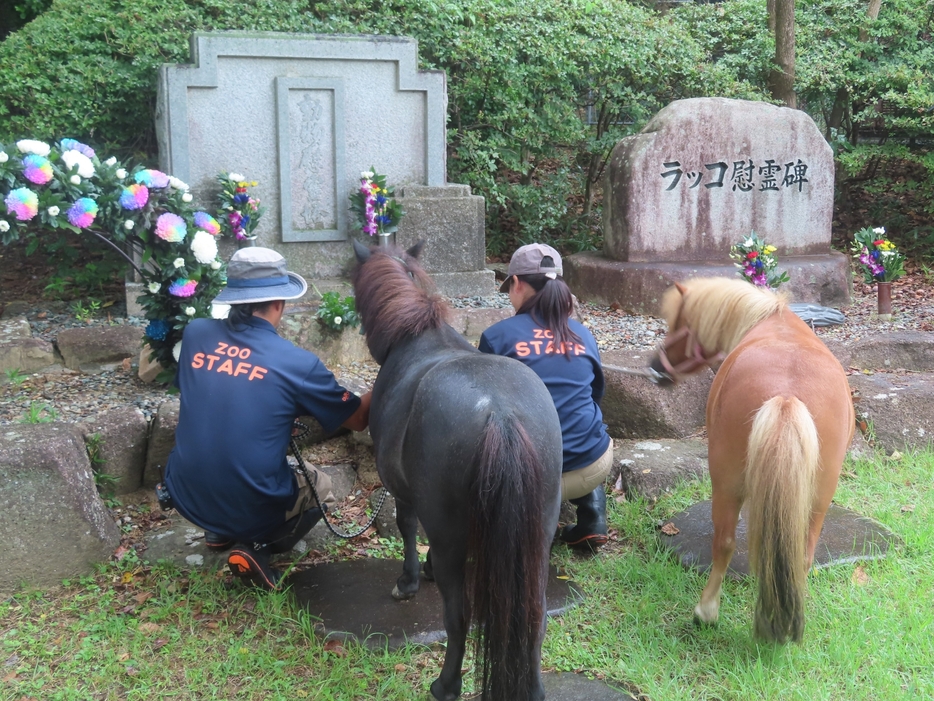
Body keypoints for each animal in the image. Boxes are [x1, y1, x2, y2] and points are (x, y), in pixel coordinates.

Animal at [352, 241, 564, 700]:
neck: (416, 340)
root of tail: (500, 413)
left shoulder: (405, 493)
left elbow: (407, 527)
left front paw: (411, 579)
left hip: (451, 531)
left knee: (458, 616)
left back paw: (445, 684)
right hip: (540, 528)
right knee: (535, 614)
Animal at [652, 276, 856, 644]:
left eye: (679, 326)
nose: (657, 368)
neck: (769, 320)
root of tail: (787, 397)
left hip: (727, 485)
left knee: (724, 543)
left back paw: (706, 612)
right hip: (819, 497)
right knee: (802, 555)